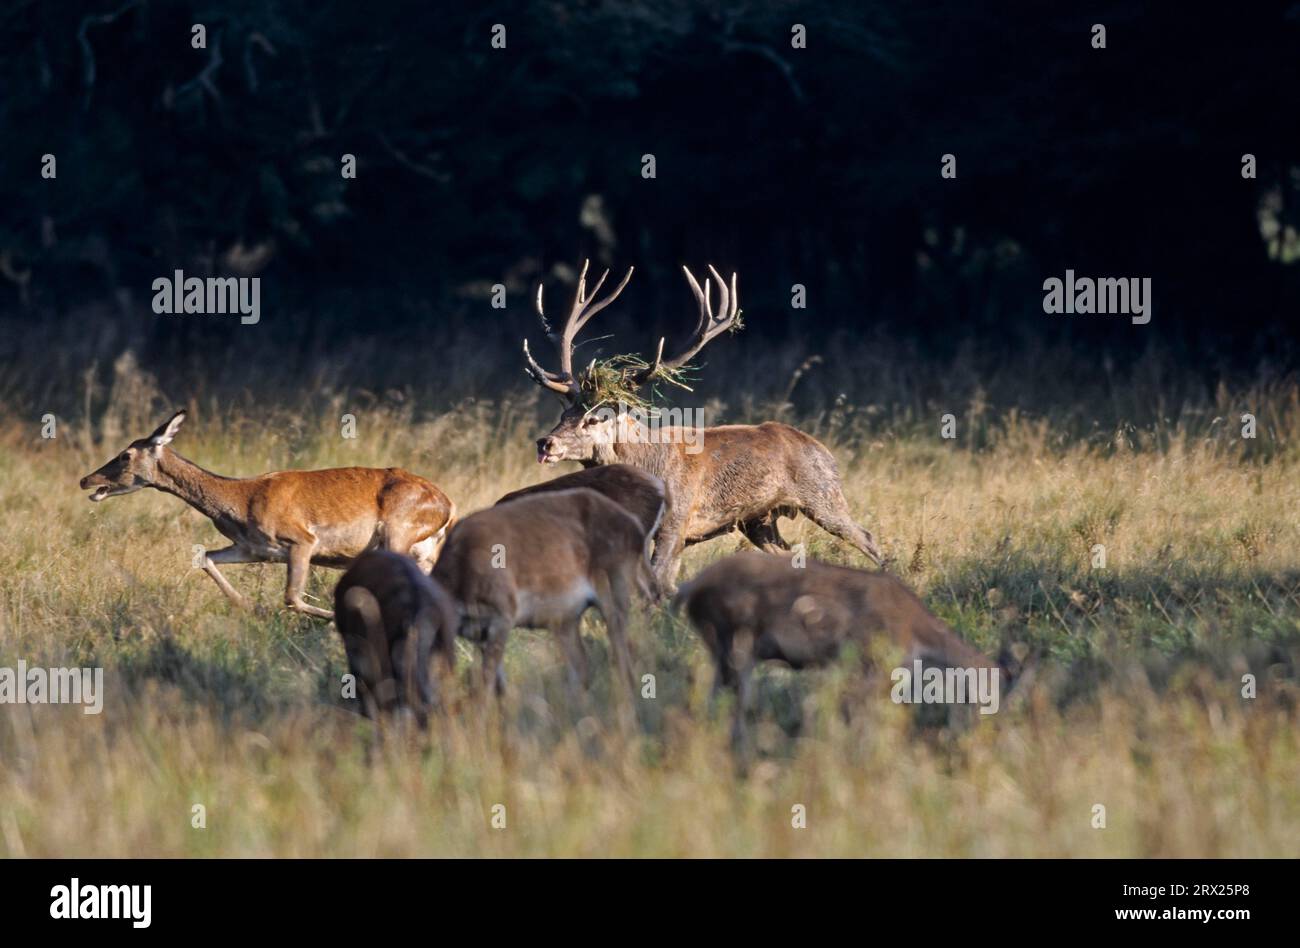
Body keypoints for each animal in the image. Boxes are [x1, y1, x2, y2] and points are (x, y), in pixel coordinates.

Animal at [79, 410, 456, 619]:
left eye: (126, 455)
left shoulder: (303, 539)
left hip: (398, 532)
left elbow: (291, 597)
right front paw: (248, 606)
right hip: (422, 549)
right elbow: (205, 557)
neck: (240, 502)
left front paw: (330, 620)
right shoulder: (254, 549)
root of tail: (447, 505)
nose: (86, 480)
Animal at [431, 487, 655, 720]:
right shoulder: (478, 634)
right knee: (581, 664)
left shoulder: (502, 615)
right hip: (567, 619)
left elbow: (486, 682)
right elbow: (497, 684)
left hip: (616, 588)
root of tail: (636, 528)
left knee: (620, 649)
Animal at [523, 260, 883, 595]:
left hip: (822, 494)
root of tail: (823, 450)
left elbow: (659, 583)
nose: (546, 442)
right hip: (759, 521)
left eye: (594, 418)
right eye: (565, 412)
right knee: (792, 554)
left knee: (867, 539)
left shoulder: (676, 519)